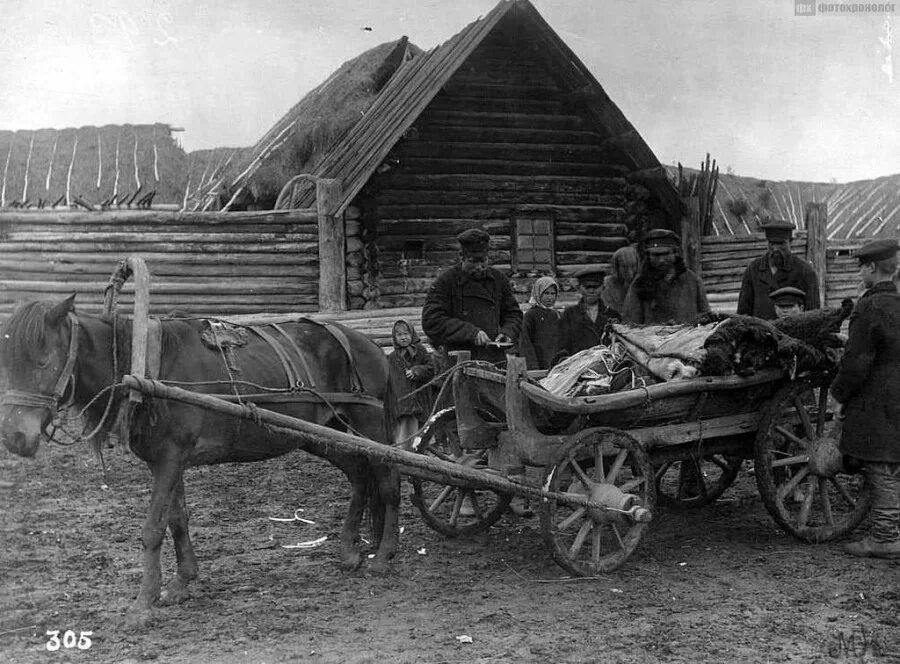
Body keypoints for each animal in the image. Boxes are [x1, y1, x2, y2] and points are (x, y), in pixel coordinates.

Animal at [0, 296, 400, 628]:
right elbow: (177, 518)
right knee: (360, 476)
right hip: (323, 433)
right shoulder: (167, 460)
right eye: (9, 365)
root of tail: (370, 346)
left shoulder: (171, 457)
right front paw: (182, 582)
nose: (15, 437)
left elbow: (153, 529)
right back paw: (349, 549)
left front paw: (143, 603)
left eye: (43, 361)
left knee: (388, 483)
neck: (148, 371)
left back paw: (384, 556)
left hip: (370, 425)